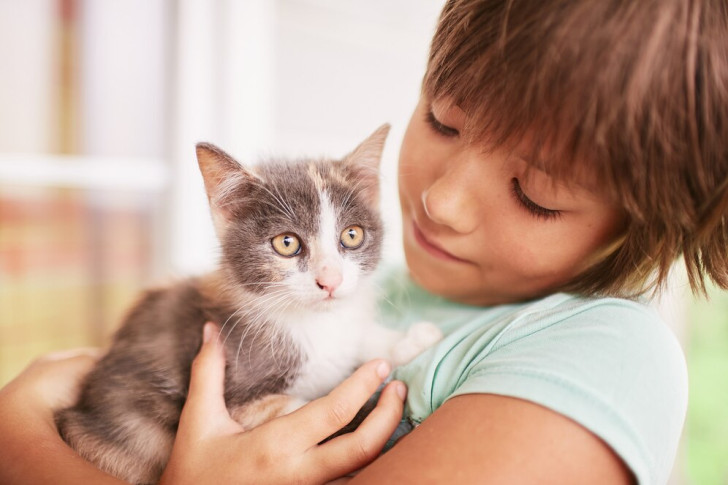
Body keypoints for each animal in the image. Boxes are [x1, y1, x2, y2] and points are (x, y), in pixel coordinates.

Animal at [54, 125, 440, 484]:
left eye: (352, 235)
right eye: (287, 243)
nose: (330, 280)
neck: (310, 323)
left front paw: (410, 340)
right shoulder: (242, 395)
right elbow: (303, 412)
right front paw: (378, 416)